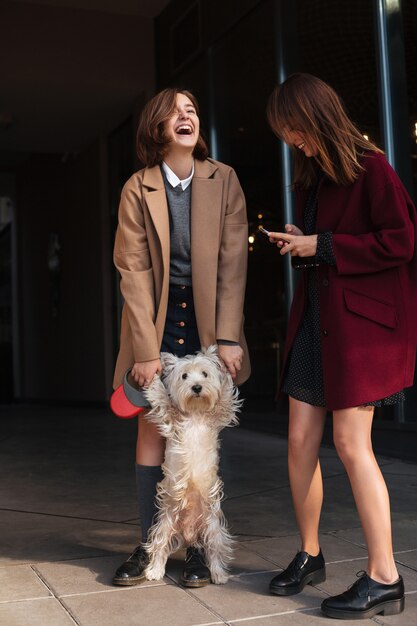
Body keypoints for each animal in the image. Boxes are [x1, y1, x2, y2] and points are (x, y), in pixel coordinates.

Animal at [142, 344, 240, 584]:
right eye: (184, 376)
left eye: (204, 374)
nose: (196, 387)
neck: (195, 413)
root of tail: (188, 534)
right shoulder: (171, 418)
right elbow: (162, 398)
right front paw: (153, 376)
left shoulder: (219, 415)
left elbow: (225, 397)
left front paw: (226, 366)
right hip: (165, 524)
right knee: (160, 547)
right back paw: (154, 571)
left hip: (213, 529)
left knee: (214, 552)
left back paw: (219, 574)